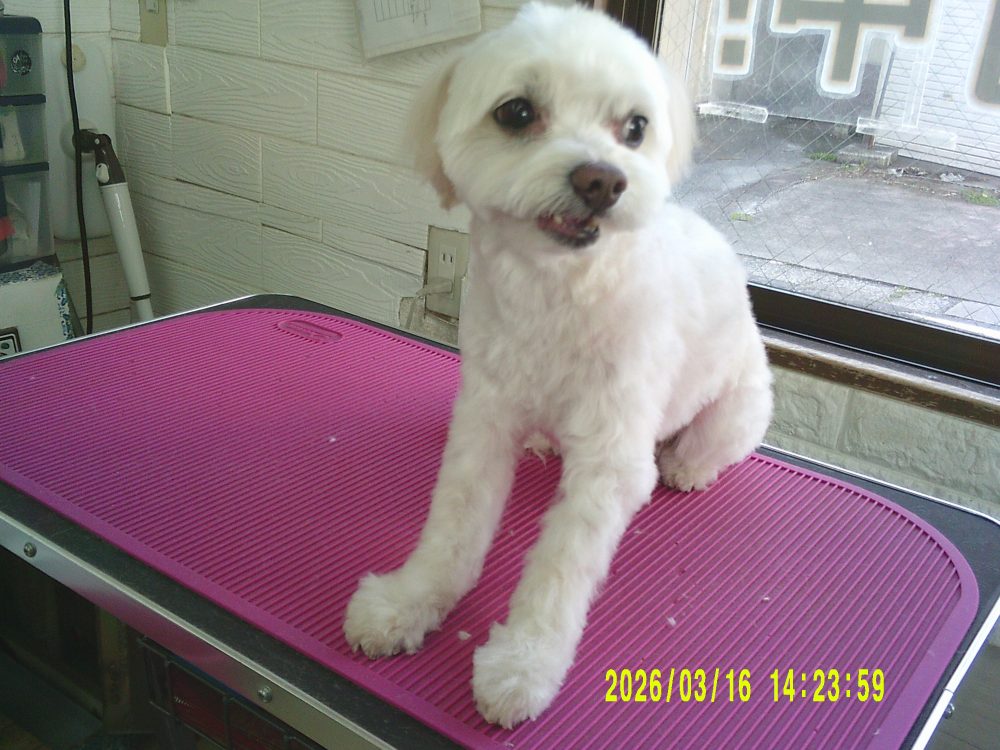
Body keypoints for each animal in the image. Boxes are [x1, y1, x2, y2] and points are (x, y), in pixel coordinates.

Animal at [344, 2, 773, 728]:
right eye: (516, 112)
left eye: (635, 127)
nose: (603, 179)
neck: (556, 292)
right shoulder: (484, 418)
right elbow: (453, 529)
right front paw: (409, 601)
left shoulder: (609, 457)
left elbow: (559, 569)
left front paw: (524, 664)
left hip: (739, 405)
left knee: (711, 443)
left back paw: (688, 465)